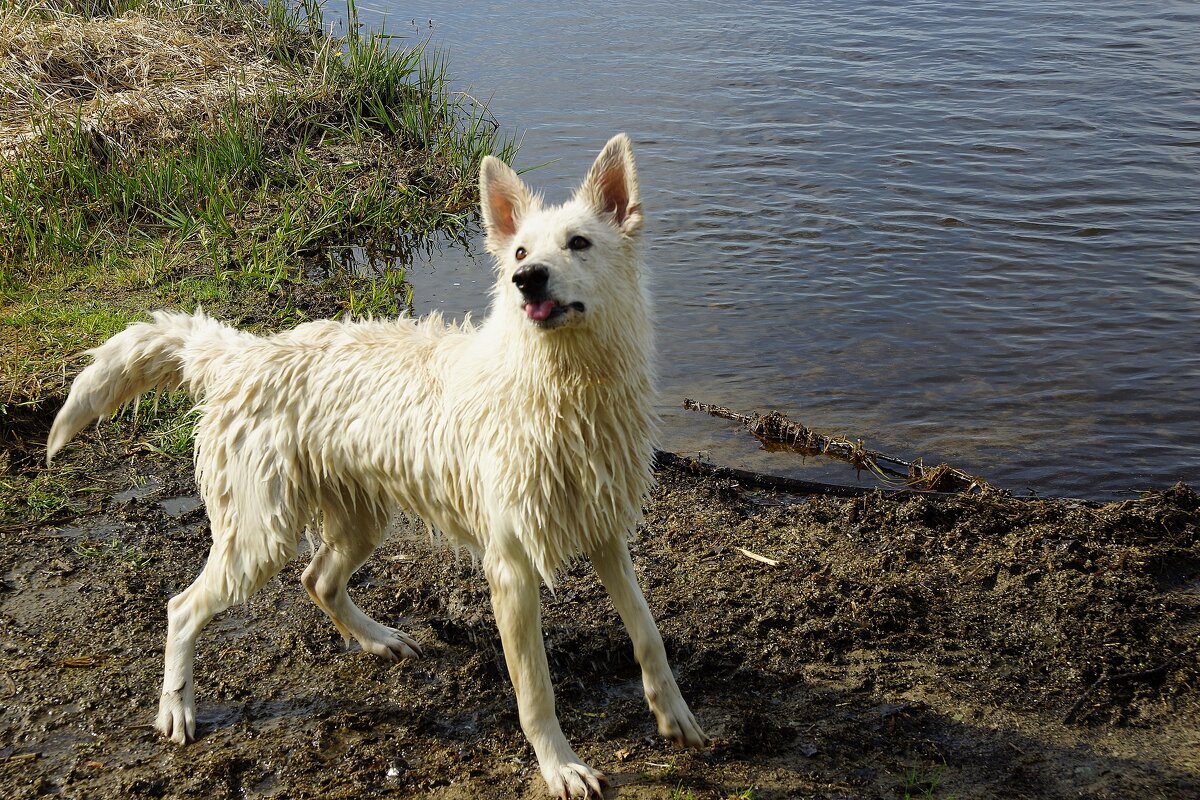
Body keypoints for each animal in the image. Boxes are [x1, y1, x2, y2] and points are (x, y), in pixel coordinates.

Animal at [46, 134, 700, 796]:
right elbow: (535, 691)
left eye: (579, 243)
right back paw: (176, 708)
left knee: (318, 579)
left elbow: (647, 632)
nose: (526, 279)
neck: (563, 386)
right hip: (260, 536)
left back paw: (381, 640)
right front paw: (559, 766)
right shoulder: (510, 566)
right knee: (184, 607)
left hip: (359, 519)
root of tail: (245, 355)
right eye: (520, 251)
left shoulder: (606, 531)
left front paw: (675, 715)